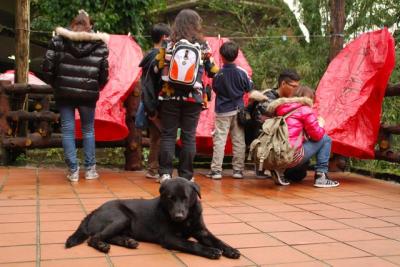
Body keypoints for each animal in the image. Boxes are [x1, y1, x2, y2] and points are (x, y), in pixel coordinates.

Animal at [65, 177, 241, 260]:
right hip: (121, 218)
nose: (178, 216)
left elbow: (218, 240)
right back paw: (103, 246)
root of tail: (94, 210)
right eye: (170, 198)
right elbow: (192, 244)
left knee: (109, 236)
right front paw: (210, 251)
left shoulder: (202, 231)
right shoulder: (169, 238)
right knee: (94, 238)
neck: (187, 219)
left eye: (185, 198)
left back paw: (128, 242)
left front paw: (231, 250)